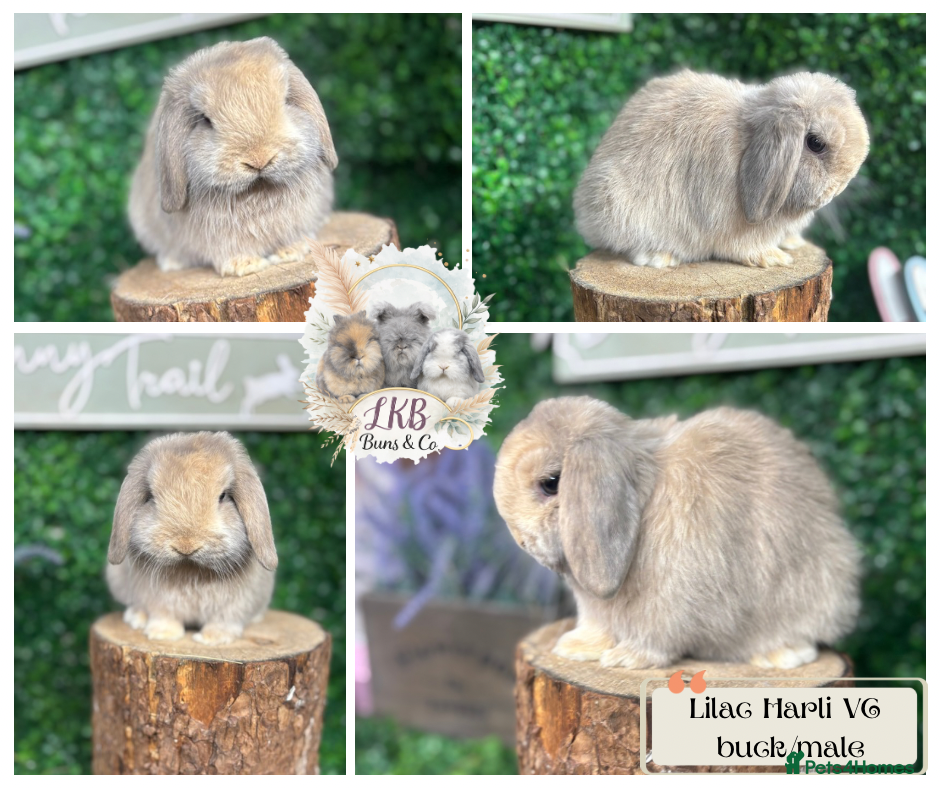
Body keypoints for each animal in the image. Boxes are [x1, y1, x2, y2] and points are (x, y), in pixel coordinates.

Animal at [106, 432, 278, 645]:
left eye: (223, 496)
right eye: (151, 497)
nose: (186, 546)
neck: (190, 569)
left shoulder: (236, 605)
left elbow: (224, 620)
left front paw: (213, 639)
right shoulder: (156, 599)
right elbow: (163, 616)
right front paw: (162, 634)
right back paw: (136, 617)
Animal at [128, 37, 338, 277]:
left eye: (286, 100)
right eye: (205, 120)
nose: (259, 159)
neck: (258, 193)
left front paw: (293, 252)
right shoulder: (215, 237)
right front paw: (245, 265)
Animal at [494, 397, 861, 670]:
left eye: (551, 483)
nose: (521, 540)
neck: (644, 502)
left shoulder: (672, 601)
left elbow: (657, 637)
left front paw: (626, 658)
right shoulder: (597, 610)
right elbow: (599, 626)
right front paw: (574, 647)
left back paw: (781, 655)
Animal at [573, 70, 869, 269]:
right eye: (815, 143)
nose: (838, 189)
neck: (749, 138)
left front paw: (792, 243)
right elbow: (743, 247)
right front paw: (773, 258)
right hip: (615, 200)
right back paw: (660, 257)